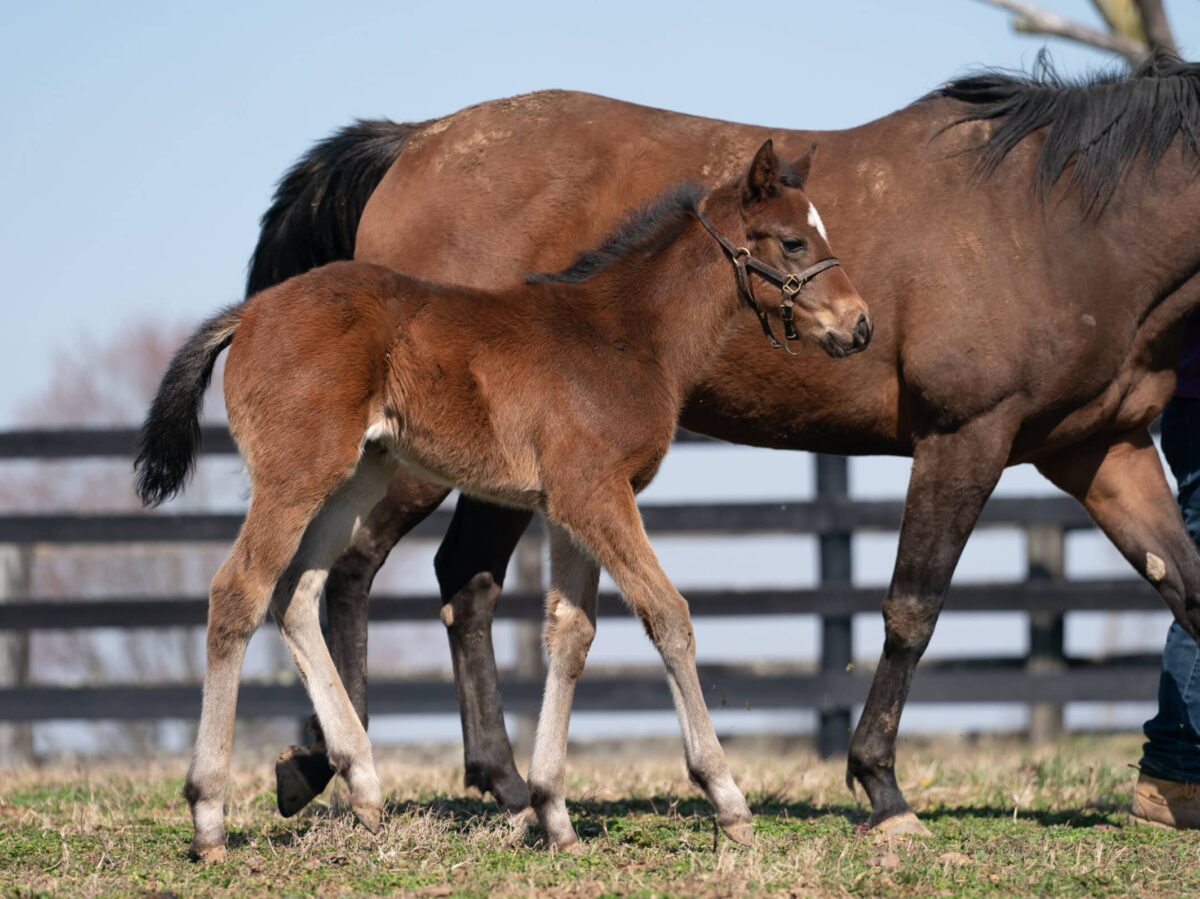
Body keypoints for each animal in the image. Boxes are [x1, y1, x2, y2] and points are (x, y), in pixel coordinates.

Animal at [136, 142, 873, 854]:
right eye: (792, 241)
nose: (860, 327)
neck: (626, 335)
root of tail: (251, 312)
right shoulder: (596, 494)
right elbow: (668, 616)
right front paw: (727, 799)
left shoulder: (571, 506)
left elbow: (570, 633)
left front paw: (553, 813)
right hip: (296, 474)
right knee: (240, 591)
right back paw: (209, 815)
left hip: (357, 475)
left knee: (295, 594)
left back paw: (365, 787)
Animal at [248, 52, 1200, 830]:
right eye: (792, 238)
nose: (857, 325)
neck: (1057, 220)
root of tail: (415, 141)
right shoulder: (965, 435)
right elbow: (911, 609)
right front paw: (882, 788)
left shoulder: (1104, 452)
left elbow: (1185, 585)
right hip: (416, 458)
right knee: (353, 569)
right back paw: (333, 766)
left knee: (463, 581)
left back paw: (509, 785)